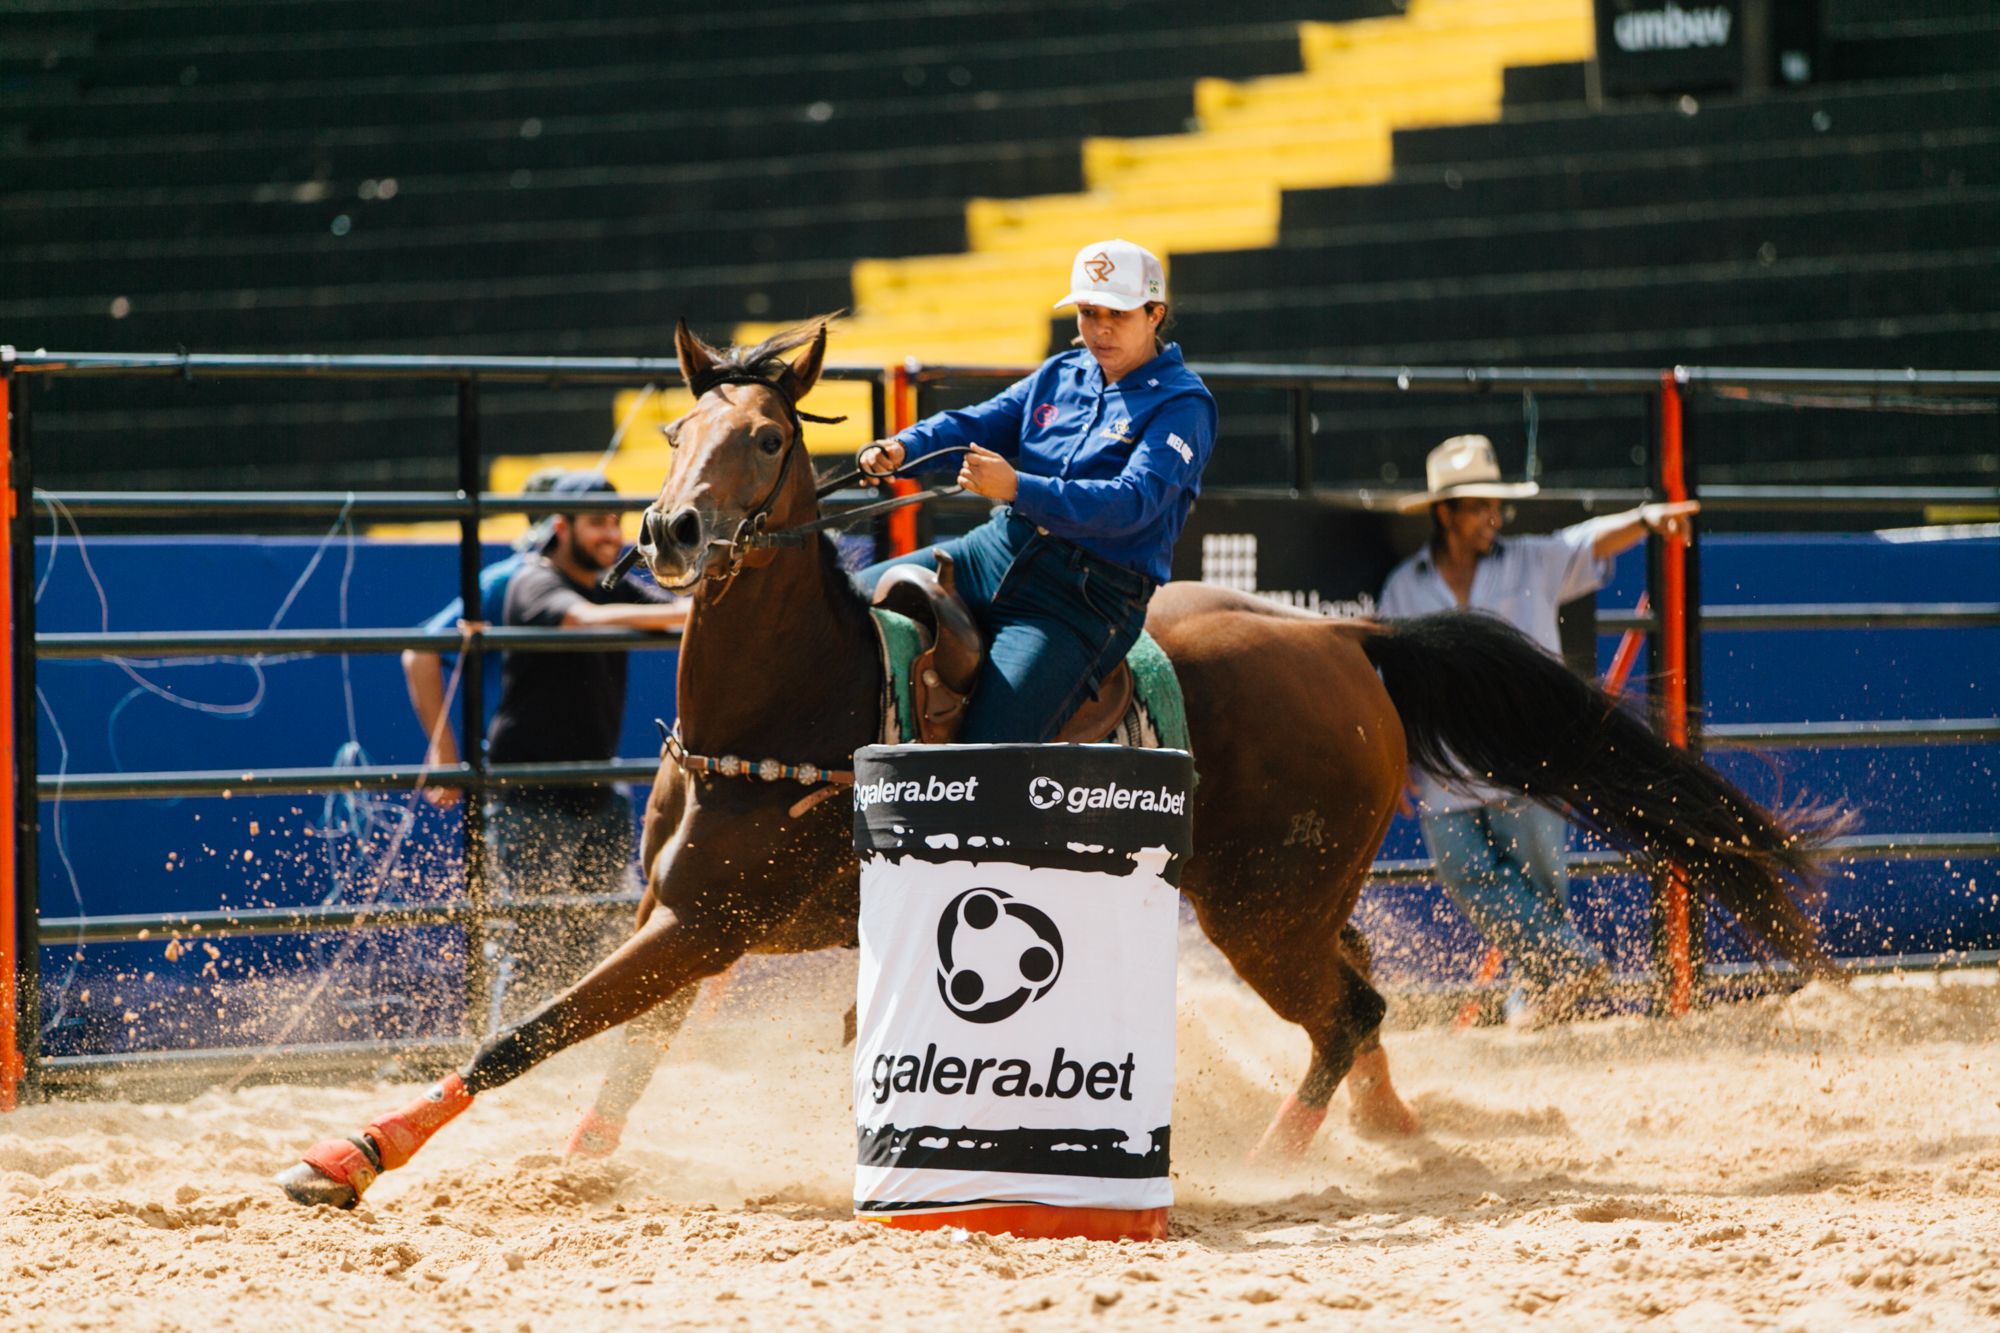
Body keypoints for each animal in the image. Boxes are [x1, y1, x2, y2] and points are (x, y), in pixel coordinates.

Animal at [274, 320, 1832, 1200]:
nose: (666, 531)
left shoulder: (703, 921)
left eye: (767, 435)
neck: (789, 706)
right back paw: (1394, 1135)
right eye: (678, 426)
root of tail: (1345, 640)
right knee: (1362, 997)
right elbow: (624, 1050)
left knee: (1342, 1011)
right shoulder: (687, 919)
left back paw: (1275, 1164)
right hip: (1287, 893)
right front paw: (576, 1163)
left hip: (1259, 909)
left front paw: (350, 1159)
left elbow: (530, 1030)